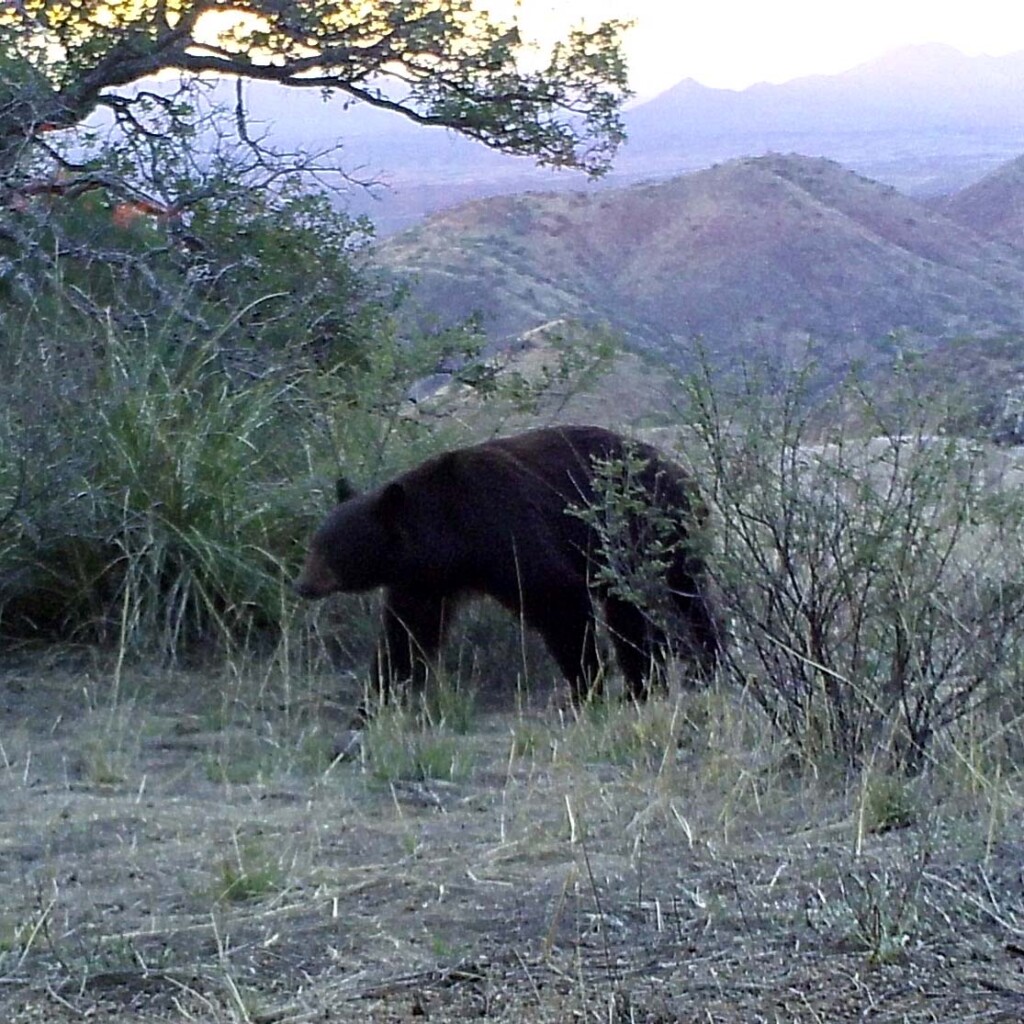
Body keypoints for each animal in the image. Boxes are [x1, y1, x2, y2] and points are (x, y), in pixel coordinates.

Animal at [292, 423, 724, 720]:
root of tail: (685, 474)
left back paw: (693, 668)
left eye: (331, 549)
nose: (302, 585)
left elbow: (559, 599)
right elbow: (406, 634)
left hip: (658, 529)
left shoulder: (509, 528)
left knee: (683, 598)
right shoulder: (425, 580)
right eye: (314, 544)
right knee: (630, 610)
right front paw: (375, 701)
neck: (452, 531)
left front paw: (585, 686)